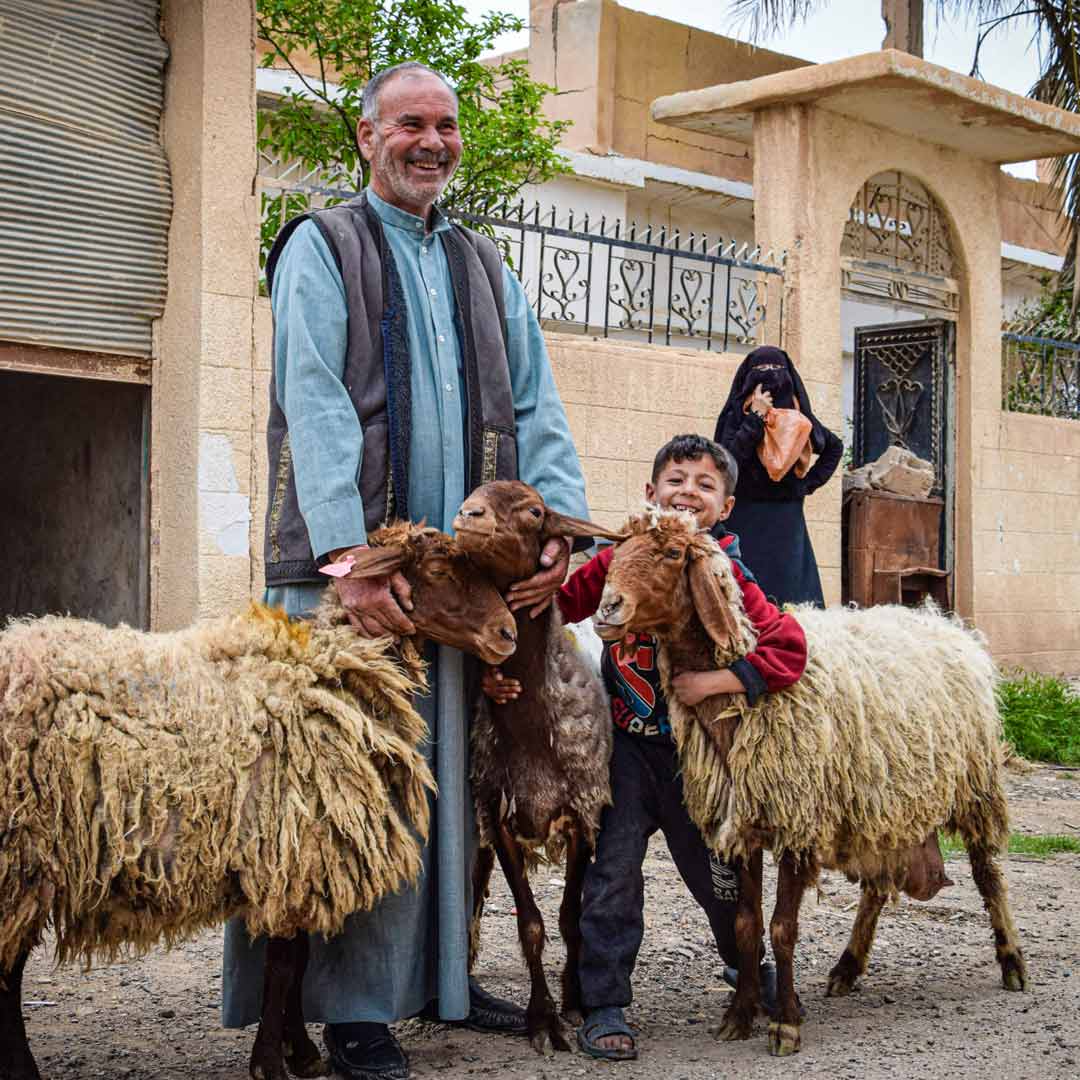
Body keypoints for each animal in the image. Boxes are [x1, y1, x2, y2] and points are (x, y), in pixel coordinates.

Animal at [0, 522, 516, 1080]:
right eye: (440, 570)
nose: (507, 633)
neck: (330, 666)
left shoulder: (298, 859)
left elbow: (297, 958)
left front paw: (302, 1053)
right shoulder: (295, 848)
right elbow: (286, 962)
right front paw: (272, 1062)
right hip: (22, 857)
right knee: (7, 974)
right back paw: (21, 1070)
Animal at [596, 509, 1023, 1058]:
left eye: (672, 554)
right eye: (616, 551)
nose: (608, 607)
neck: (740, 704)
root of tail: (943, 621)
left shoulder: (798, 822)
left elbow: (783, 928)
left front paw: (785, 1024)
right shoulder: (746, 825)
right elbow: (746, 925)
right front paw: (740, 1015)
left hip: (975, 784)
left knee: (988, 874)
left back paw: (1011, 960)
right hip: (883, 802)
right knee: (877, 888)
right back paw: (848, 966)